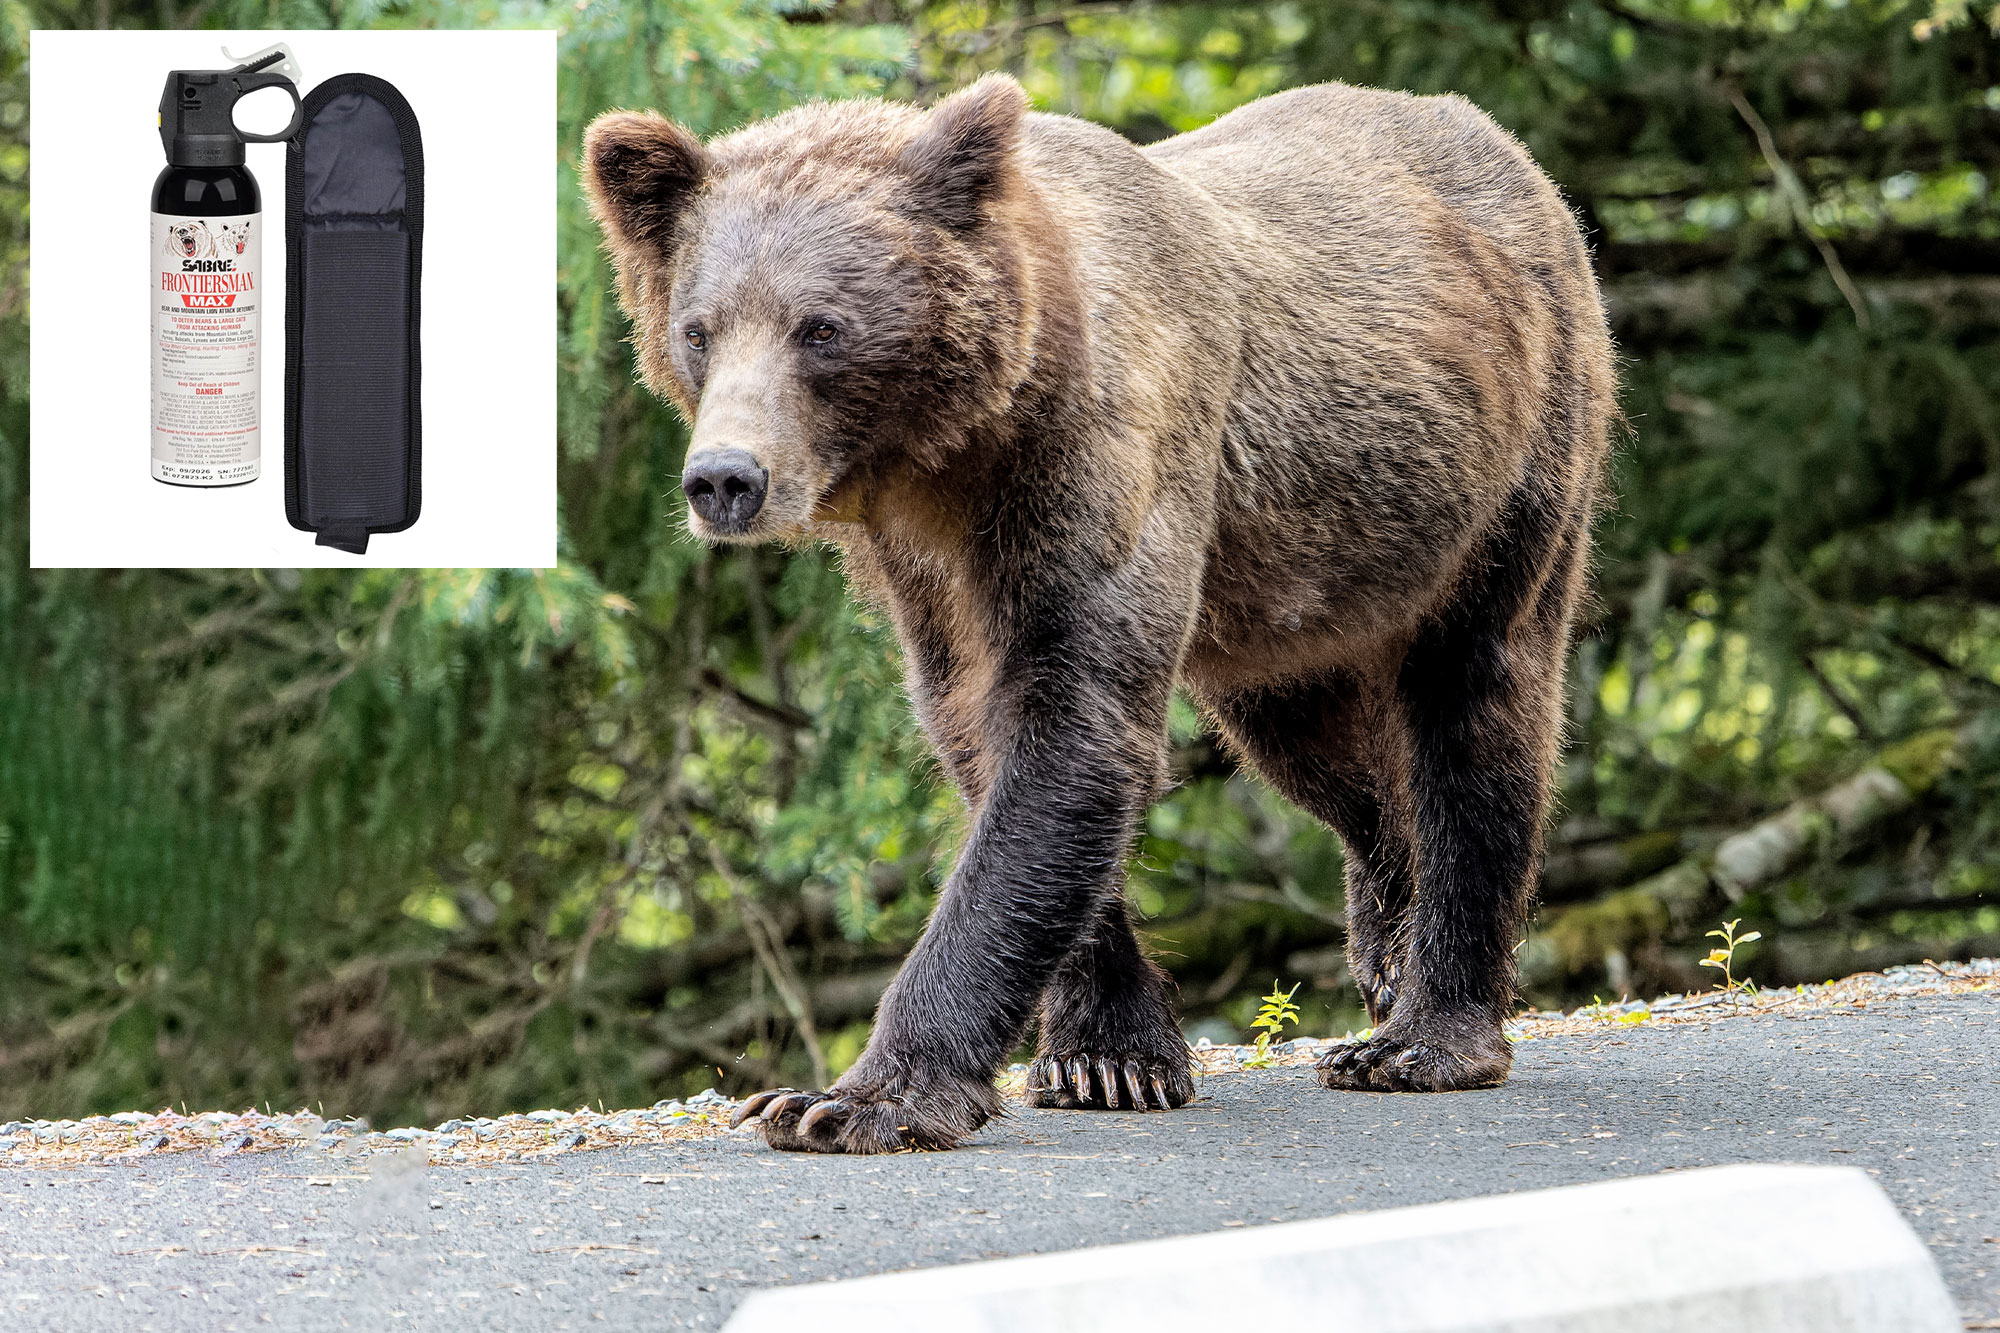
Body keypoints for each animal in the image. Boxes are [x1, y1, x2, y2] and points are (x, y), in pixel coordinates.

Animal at [581, 72, 1616, 1154]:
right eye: (698, 328)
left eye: (819, 325)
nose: (724, 479)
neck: (960, 449)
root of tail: (1501, 146)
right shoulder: (930, 573)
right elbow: (982, 736)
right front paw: (1105, 1055)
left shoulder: (1104, 459)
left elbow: (1072, 728)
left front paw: (850, 1097)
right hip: (1296, 588)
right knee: (1324, 752)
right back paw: (1385, 942)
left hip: (1511, 464)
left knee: (1479, 700)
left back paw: (1426, 1032)